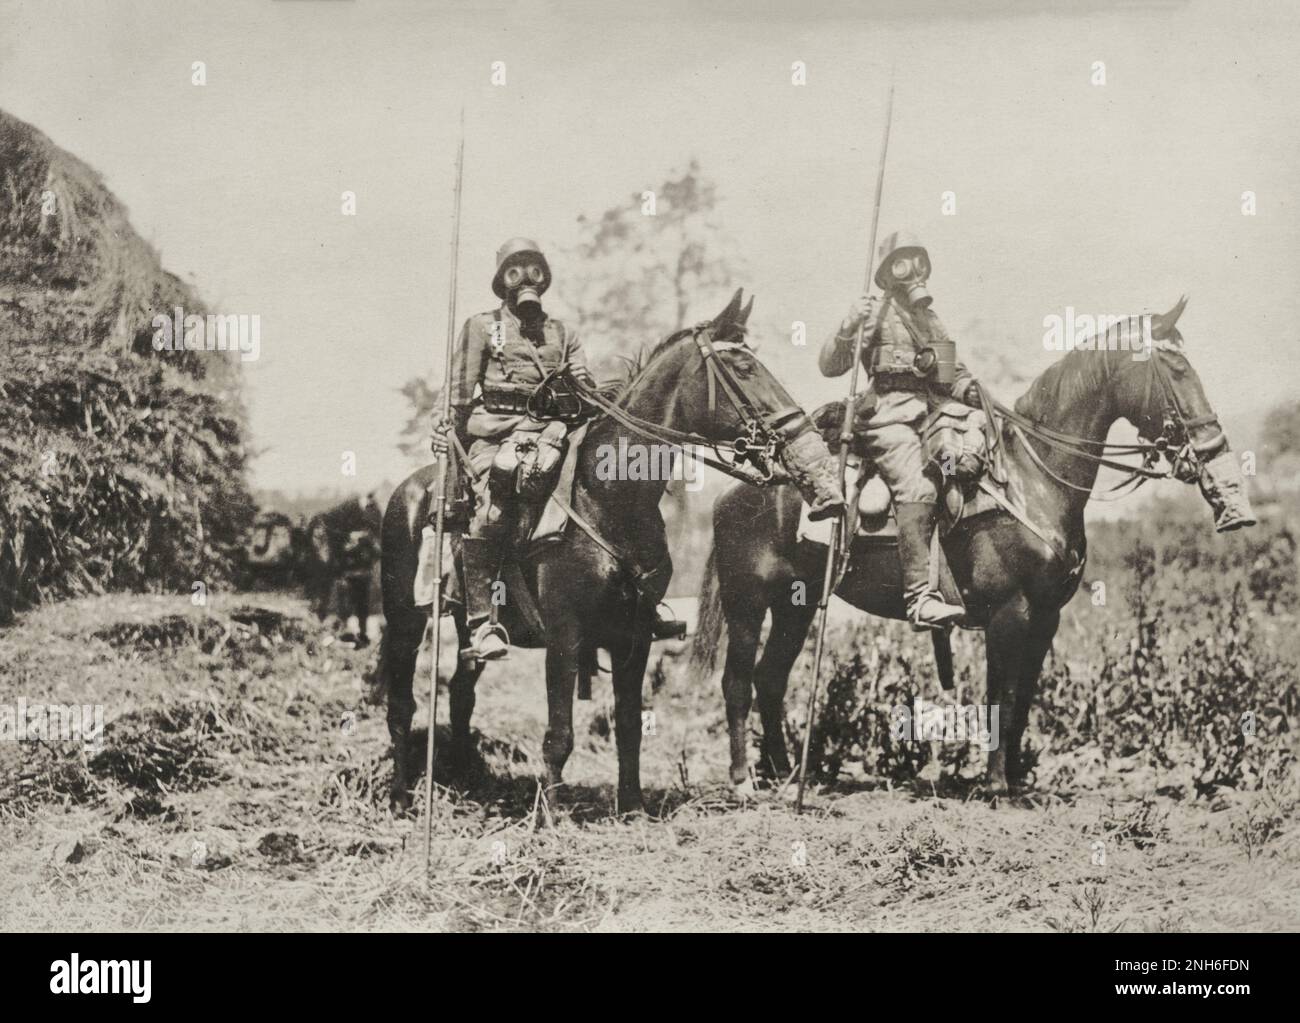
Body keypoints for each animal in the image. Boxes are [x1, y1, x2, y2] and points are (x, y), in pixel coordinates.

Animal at [379, 289, 842, 816]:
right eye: (744, 367)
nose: (804, 435)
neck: (609, 498)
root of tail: (410, 489)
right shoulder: (564, 633)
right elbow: (559, 733)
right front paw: (551, 815)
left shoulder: (634, 634)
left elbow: (628, 725)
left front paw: (633, 806)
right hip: (405, 620)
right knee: (402, 705)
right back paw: (400, 797)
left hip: (465, 626)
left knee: (460, 693)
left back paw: (469, 781)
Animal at [696, 300, 1253, 795]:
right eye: (1177, 368)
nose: (1213, 445)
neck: (1031, 480)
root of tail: (735, 491)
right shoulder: (1010, 613)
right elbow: (999, 697)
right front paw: (994, 784)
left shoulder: (1046, 617)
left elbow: (1023, 699)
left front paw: (1014, 780)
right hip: (748, 605)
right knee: (737, 682)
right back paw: (745, 782)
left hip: (797, 605)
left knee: (769, 680)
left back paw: (787, 775)